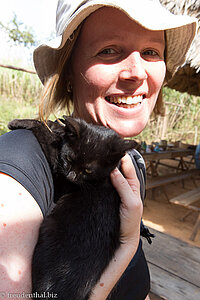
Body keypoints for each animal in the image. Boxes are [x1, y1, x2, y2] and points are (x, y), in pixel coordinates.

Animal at [7, 116, 136, 300]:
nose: (71, 175)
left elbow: (48, 139)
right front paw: (57, 125)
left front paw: (24, 122)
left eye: (88, 170)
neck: (103, 179)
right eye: (68, 159)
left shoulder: (62, 185)